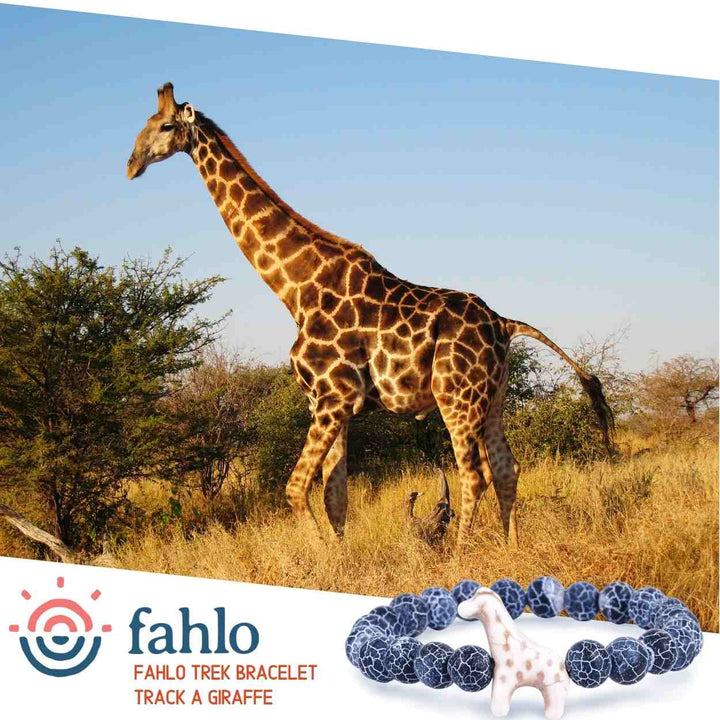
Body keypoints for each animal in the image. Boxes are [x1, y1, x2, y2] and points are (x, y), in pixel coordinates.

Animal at [127, 83, 614, 547]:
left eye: (166, 126)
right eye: (144, 123)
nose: (131, 165)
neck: (296, 289)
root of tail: (506, 324)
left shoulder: (334, 396)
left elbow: (296, 488)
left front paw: (321, 558)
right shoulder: (326, 401)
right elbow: (334, 495)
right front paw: (338, 559)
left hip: (456, 397)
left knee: (475, 475)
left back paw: (460, 556)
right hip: (491, 399)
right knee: (507, 469)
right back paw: (511, 550)